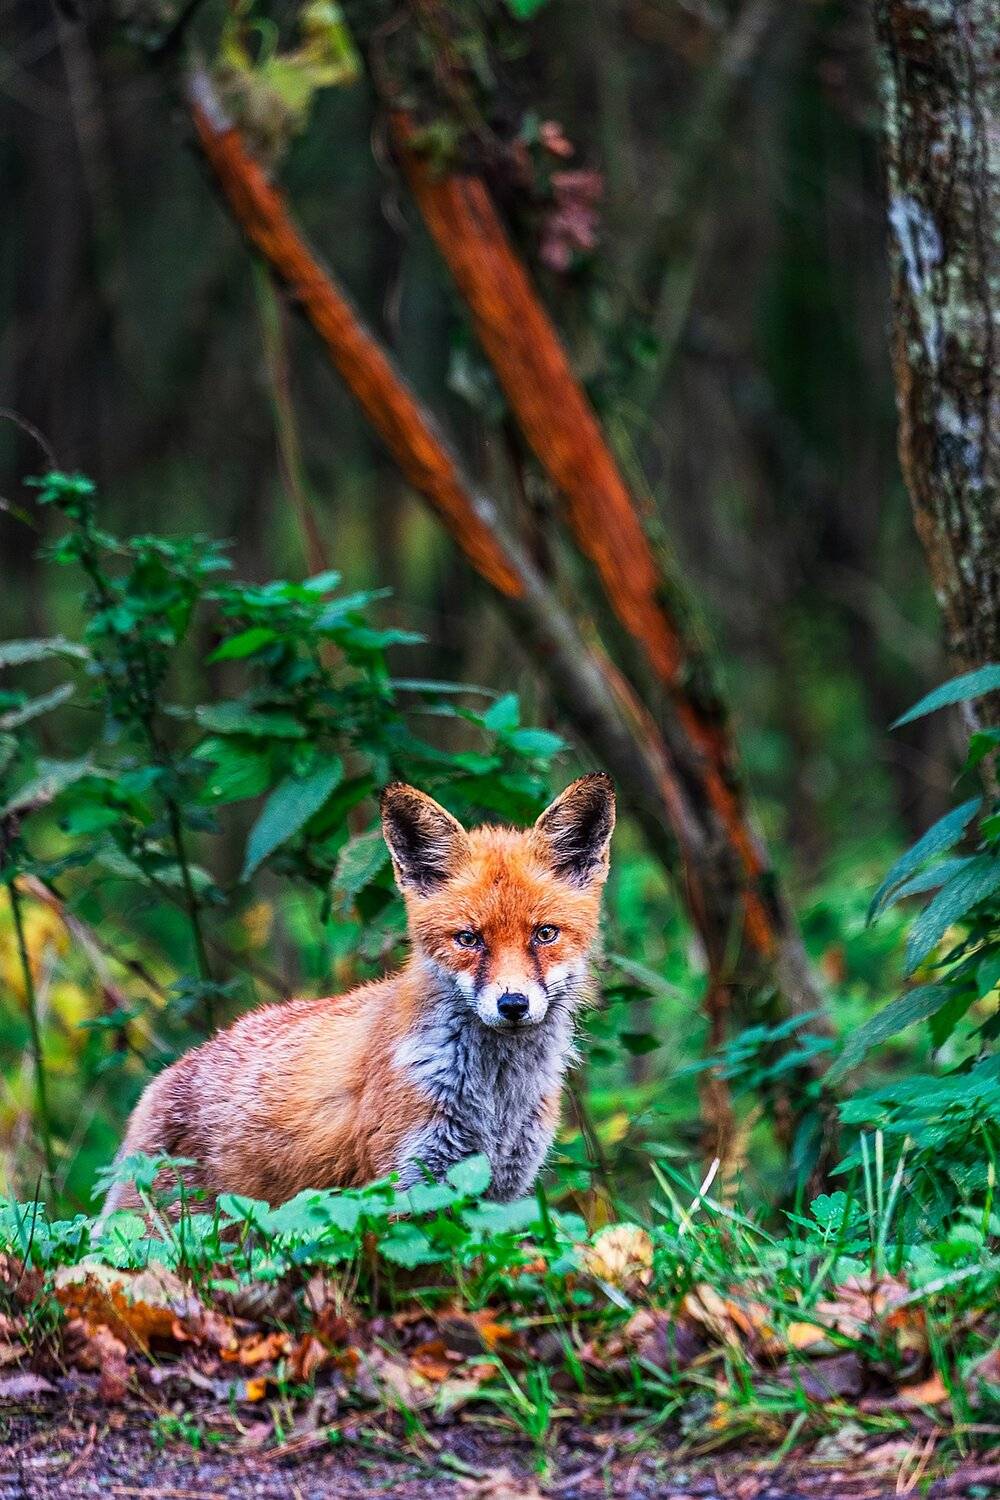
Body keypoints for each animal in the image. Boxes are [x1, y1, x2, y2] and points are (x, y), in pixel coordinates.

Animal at [101, 772, 615, 1216]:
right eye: (468, 939)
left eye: (544, 934)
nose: (512, 1005)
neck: (497, 1099)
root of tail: (159, 1083)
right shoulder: (407, 1186)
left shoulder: (500, 1193)